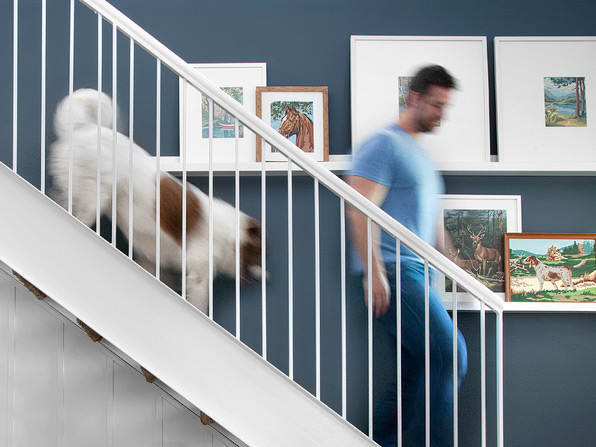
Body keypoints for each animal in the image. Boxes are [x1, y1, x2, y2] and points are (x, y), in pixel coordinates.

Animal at [50, 88, 264, 316]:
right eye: (259, 255)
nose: (266, 278)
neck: (230, 235)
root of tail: (80, 128)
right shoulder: (199, 276)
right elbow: (200, 303)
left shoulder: (152, 259)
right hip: (94, 198)